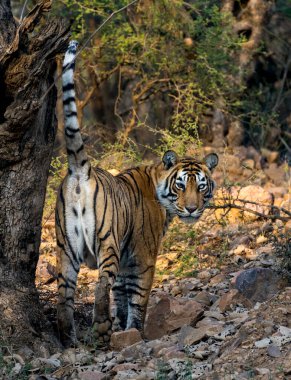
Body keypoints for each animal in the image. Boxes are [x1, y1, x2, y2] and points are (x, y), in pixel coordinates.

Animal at [55, 40, 219, 348]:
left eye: (201, 186)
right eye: (181, 185)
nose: (192, 209)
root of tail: (81, 170)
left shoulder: (126, 260)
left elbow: (121, 297)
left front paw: (124, 329)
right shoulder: (142, 257)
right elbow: (137, 299)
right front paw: (136, 332)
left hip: (66, 248)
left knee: (64, 295)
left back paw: (68, 339)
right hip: (107, 241)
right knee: (100, 286)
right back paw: (101, 332)